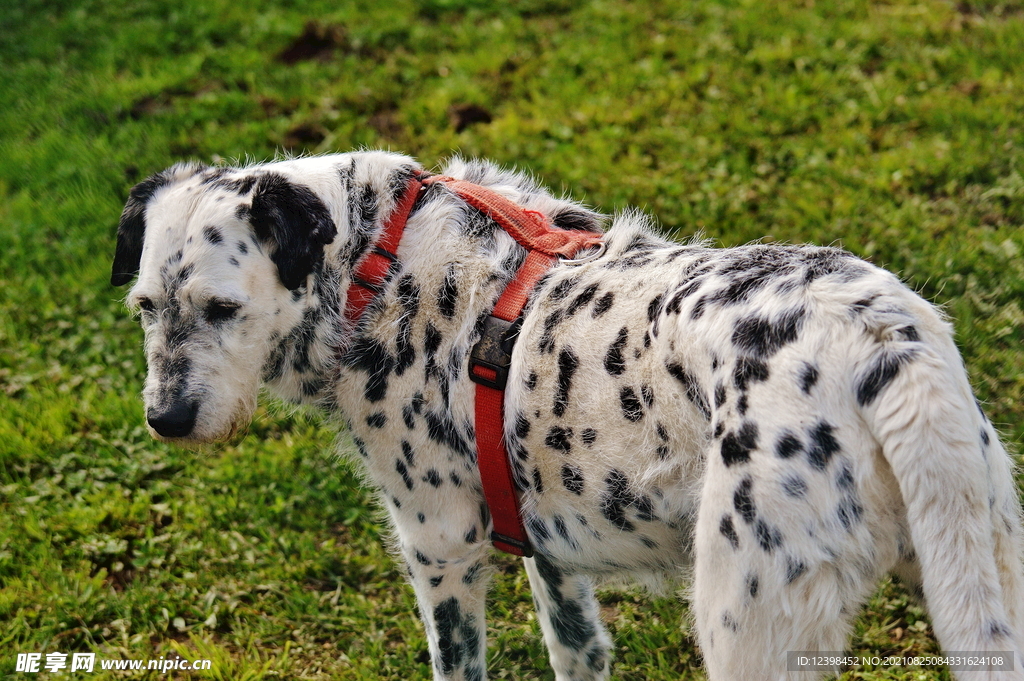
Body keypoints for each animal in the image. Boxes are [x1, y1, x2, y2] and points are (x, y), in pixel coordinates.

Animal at [112, 150, 1024, 679]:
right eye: (145, 306)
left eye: (223, 308)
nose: (165, 418)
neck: (380, 256)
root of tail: (884, 340)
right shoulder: (550, 553)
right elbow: (576, 647)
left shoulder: (441, 546)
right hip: (981, 581)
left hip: (745, 623)